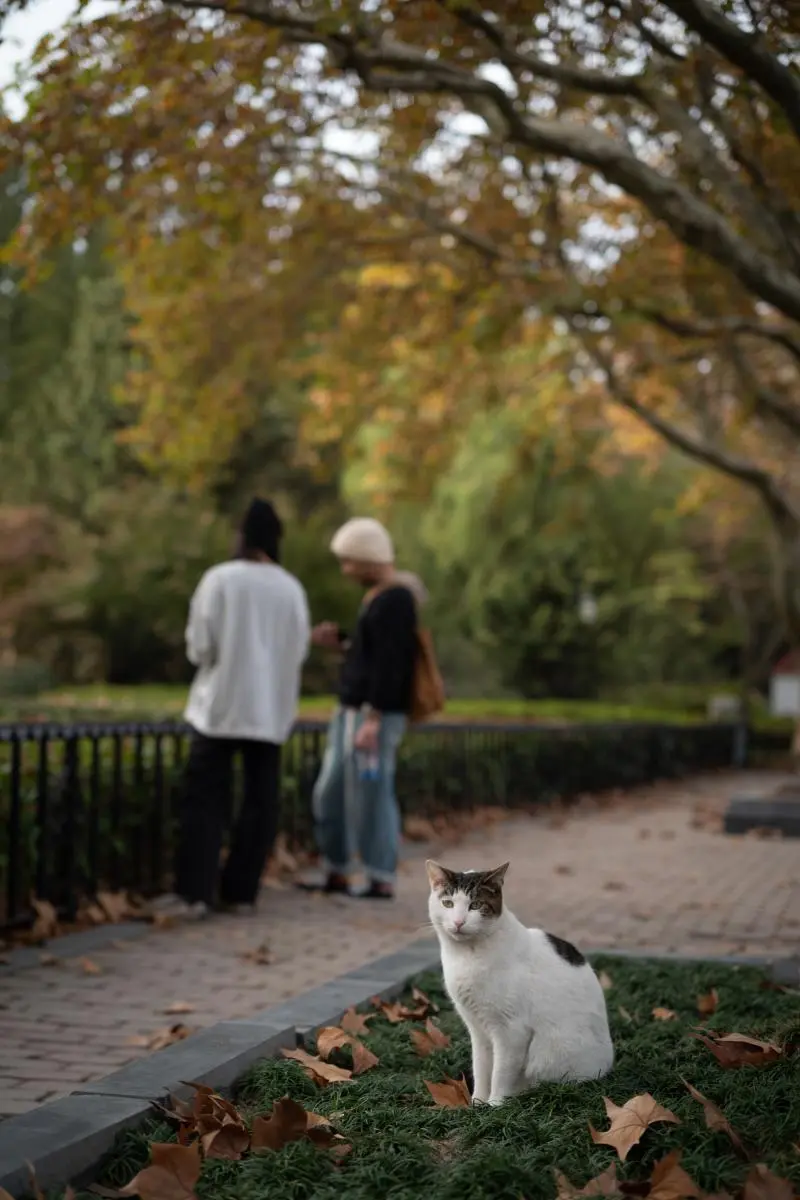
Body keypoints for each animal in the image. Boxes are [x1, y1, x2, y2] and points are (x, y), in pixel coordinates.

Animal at [424, 864, 614, 1104]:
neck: (466, 955)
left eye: (475, 905)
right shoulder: (477, 1028)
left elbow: (501, 1072)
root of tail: (608, 1063)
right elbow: (481, 1067)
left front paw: (495, 1104)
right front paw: (477, 1102)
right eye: (447, 903)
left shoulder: (511, 1030)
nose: (459, 922)